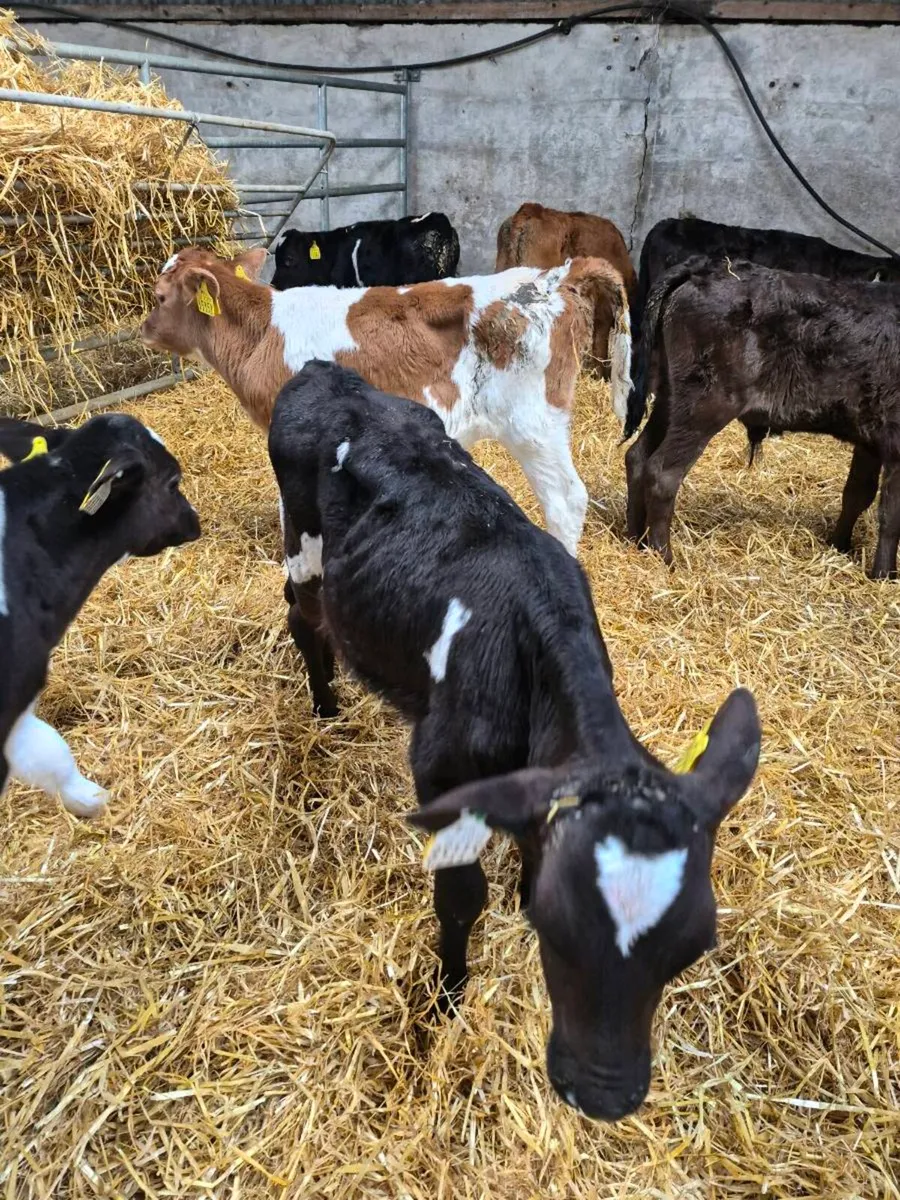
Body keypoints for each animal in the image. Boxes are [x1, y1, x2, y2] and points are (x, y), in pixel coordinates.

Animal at [141, 246, 633, 556]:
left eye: (159, 296)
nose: (143, 329)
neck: (263, 332)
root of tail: (556, 275)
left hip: (533, 425)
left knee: (566, 500)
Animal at [270, 359, 761, 1121]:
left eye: (692, 946)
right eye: (559, 934)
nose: (604, 1092)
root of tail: (325, 371)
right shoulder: (442, 775)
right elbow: (460, 898)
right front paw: (446, 1000)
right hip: (304, 545)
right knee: (305, 618)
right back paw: (325, 709)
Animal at [624, 257, 900, 578]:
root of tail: (703, 268)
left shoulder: (870, 439)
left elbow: (857, 494)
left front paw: (839, 546)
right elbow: (891, 515)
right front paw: (884, 575)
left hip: (670, 397)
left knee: (638, 456)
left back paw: (636, 540)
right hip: (705, 406)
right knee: (662, 472)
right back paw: (664, 557)